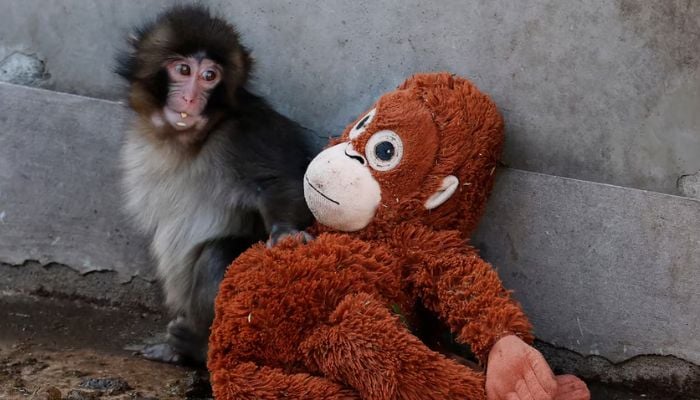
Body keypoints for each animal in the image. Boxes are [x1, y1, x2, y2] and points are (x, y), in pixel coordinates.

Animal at [115, 5, 315, 365]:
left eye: (210, 76)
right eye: (183, 70)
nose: (191, 97)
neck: (189, 140)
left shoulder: (247, 133)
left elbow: (283, 183)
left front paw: (285, 232)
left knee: (217, 255)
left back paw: (195, 346)